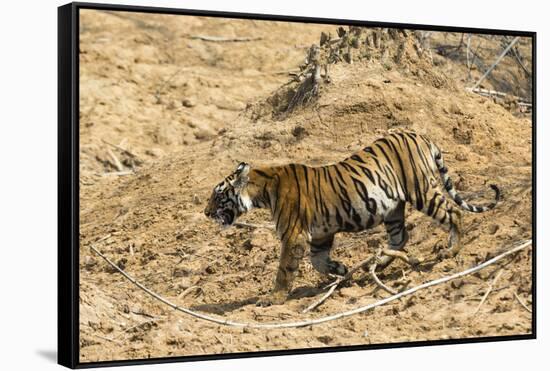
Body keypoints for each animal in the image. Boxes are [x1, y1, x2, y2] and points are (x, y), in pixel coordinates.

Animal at [205, 132, 502, 306]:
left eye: (218, 195)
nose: (206, 213)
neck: (263, 189)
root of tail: (419, 134)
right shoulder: (320, 234)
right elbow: (318, 261)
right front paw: (341, 270)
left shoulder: (293, 235)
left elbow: (285, 269)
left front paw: (273, 298)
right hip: (392, 209)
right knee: (401, 237)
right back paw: (379, 263)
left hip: (421, 190)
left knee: (453, 212)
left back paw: (451, 250)